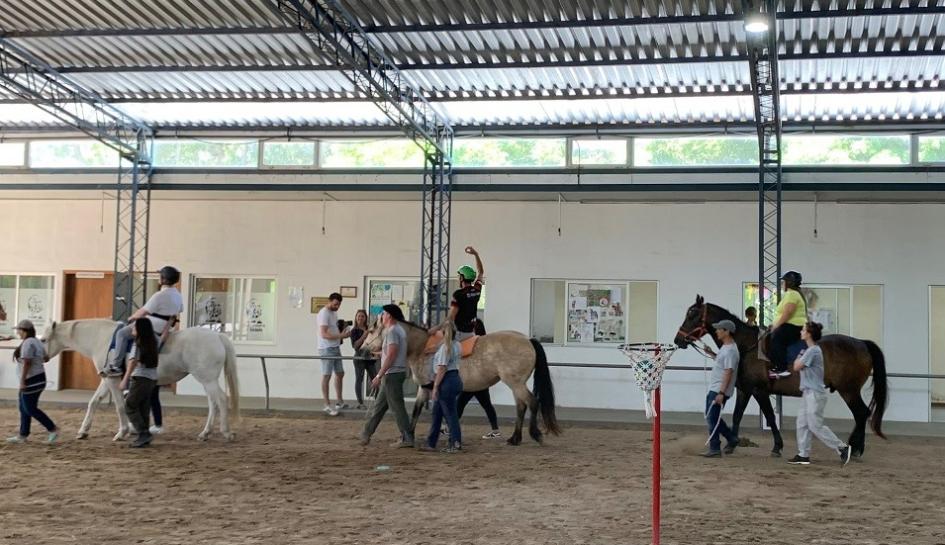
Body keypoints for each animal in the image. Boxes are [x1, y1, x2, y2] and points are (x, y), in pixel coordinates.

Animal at [44, 318, 240, 442]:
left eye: (44, 339)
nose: (44, 358)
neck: (101, 339)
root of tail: (217, 336)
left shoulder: (113, 380)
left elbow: (119, 405)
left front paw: (122, 433)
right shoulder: (107, 379)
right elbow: (94, 402)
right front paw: (83, 431)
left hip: (207, 379)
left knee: (221, 400)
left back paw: (226, 432)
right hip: (207, 380)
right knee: (213, 403)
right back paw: (205, 433)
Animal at [672, 296, 884, 456]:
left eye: (692, 314)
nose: (678, 339)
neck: (746, 345)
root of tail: (861, 343)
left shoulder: (759, 391)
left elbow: (770, 417)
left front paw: (777, 446)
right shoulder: (745, 390)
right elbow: (737, 416)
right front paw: (731, 444)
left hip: (849, 390)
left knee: (861, 413)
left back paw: (855, 448)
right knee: (861, 414)